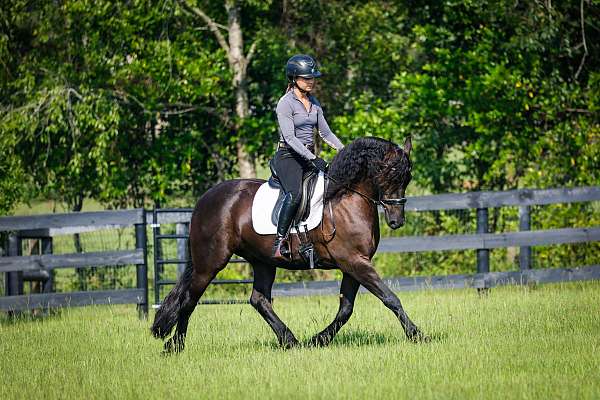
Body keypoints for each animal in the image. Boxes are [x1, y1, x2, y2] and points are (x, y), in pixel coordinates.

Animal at [152, 136, 428, 352]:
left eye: (407, 177)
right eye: (389, 175)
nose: (396, 221)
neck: (345, 199)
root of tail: (205, 200)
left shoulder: (354, 264)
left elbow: (346, 308)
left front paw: (318, 340)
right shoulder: (353, 262)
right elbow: (390, 298)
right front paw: (417, 335)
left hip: (263, 261)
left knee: (258, 300)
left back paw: (290, 340)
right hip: (210, 262)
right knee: (190, 299)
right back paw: (174, 346)